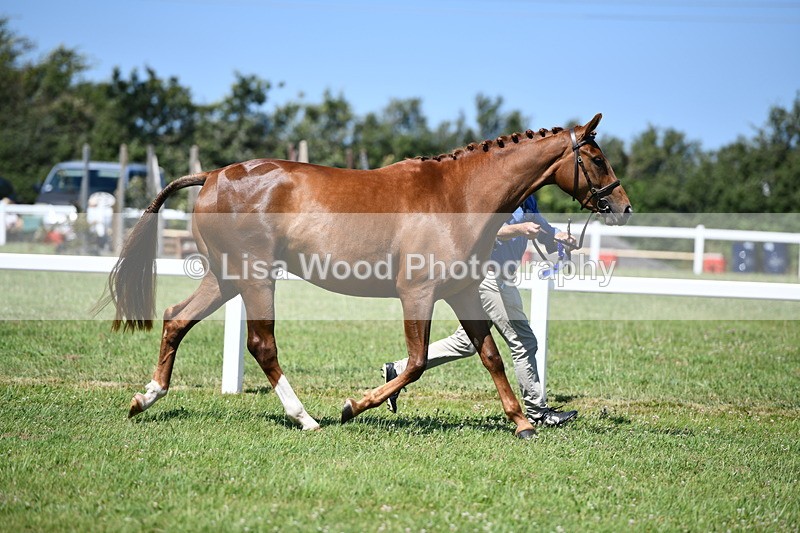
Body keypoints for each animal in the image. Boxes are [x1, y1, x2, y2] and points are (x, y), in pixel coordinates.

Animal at [100, 113, 632, 439]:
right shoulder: (418, 293)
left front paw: (523, 424)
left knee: (176, 319)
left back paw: (145, 399)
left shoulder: (461, 291)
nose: (624, 206)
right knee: (261, 344)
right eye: (597, 158)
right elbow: (416, 363)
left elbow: (491, 356)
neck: (459, 196)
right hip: (254, 278)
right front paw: (353, 406)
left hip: (225, 278)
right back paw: (306, 418)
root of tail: (212, 176)